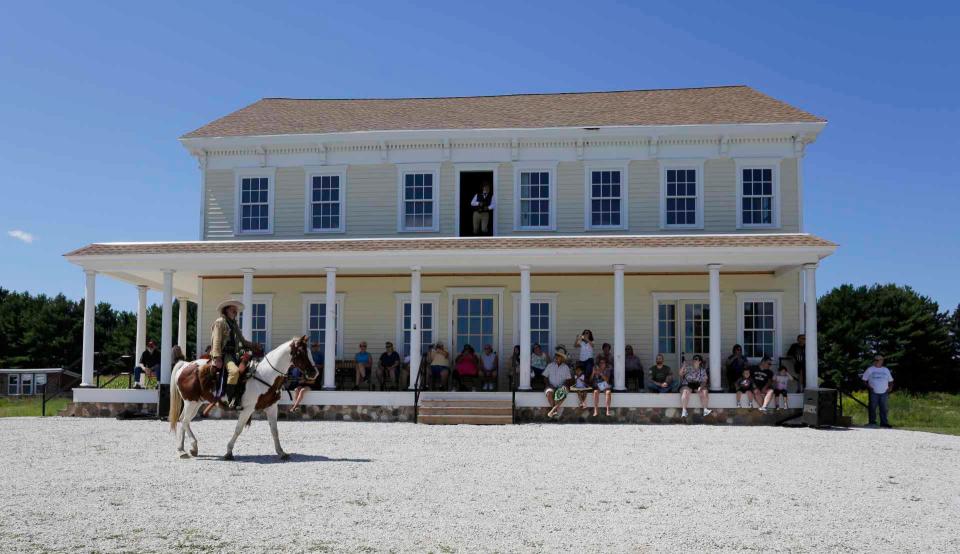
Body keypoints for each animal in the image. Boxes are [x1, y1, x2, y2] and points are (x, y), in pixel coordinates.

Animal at [170, 334, 318, 460]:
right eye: (301, 352)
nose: (314, 372)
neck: (265, 374)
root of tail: (186, 364)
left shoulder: (271, 407)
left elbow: (274, 431)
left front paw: (281, 452)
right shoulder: (248, 409)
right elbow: (238, 429)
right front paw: (229, 452)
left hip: (196, 403)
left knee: (184, 421)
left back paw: (183, 449)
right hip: (191, 402)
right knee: (184, 421)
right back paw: (190, 447)